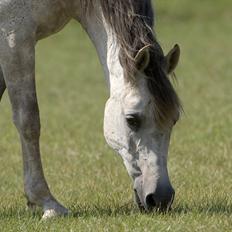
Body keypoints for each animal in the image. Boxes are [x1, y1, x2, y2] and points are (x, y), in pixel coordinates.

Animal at [0, 0, 181, 218]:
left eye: (174, 119)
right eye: (132, 119)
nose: (161, 198)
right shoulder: (15, 38)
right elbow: (28, 120)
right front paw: (48, 203)